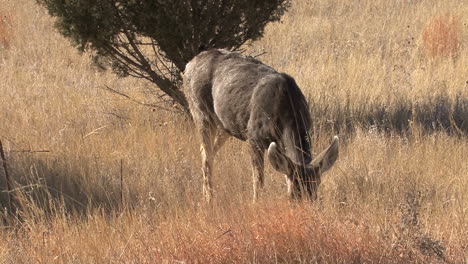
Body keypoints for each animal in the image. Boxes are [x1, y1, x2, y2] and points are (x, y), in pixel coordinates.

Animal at [184, 49, 340, 202]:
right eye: (293, 196)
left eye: (316, 192)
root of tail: (188, 65)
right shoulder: (253, 136)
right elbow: (258, 180)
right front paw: (256, 202)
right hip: (200, 111)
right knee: (206, 153)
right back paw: (208, 198)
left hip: (225, 125)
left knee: (207, 151)